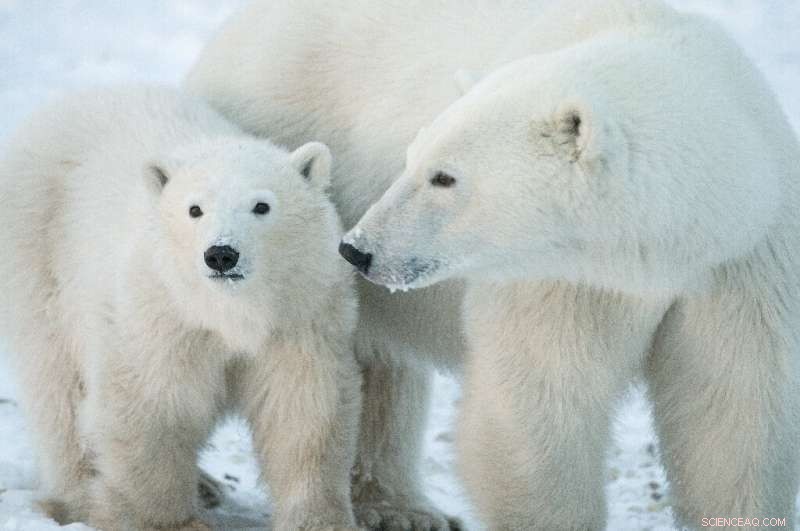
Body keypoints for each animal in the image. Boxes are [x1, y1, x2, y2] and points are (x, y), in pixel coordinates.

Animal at [0, 86, 361, 531]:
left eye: (262, 206)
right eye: (195, 209)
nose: (221, 254)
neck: (228, 311)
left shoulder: (300, 315)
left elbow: (302, 409)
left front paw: (318, 519)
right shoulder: (161, 315)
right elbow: (149, 406)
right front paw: (163, 520)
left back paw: (204, 486)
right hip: (37, 253)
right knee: (56, 384)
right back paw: (76, 495)